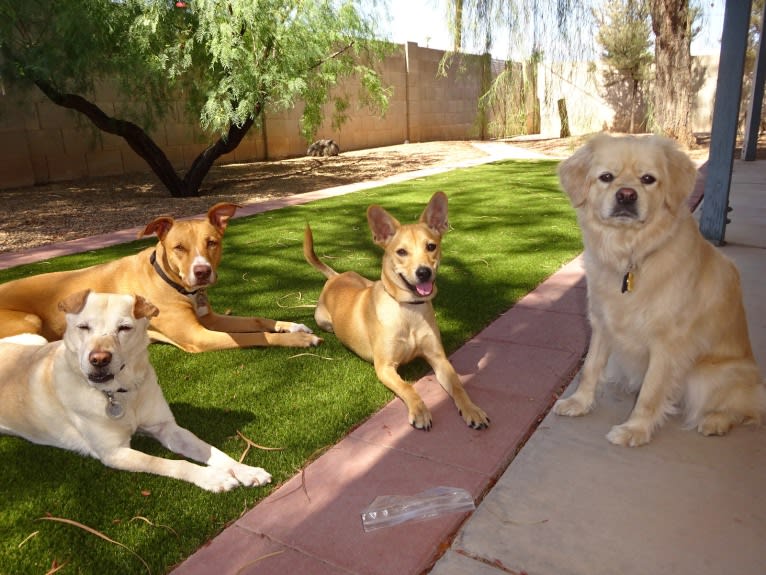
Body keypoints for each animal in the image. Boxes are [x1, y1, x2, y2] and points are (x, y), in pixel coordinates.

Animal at [0, 202, 320, 356]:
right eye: (179, 248)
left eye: (212, 243)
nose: (202, 272)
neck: (171, 282)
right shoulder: (199, 336)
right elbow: (255, 336)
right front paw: (300, 339)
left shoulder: (210, 318)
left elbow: (255, 319)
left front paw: (292, 326)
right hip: (30, 321)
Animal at [0, 290, 272, 492]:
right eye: (84, 327)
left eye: (124, 328)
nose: (99, 359)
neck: (120, 394)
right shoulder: (114, 452)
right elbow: (170, 463)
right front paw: (212, 477)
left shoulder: (166, 428)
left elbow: (211, 450)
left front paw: (245, 470)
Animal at [304, 194, 488, 432]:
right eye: (401, 252)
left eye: (431, 246)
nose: (423, 272)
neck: (409, 309)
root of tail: (335, 277)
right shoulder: (384, 367)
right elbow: (408, 387)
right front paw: (420, 411)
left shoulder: (438, 358)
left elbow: (458, 385)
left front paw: (472, 410)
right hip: (323, 321)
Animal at [556, 134, 764, 446]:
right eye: (606, 177)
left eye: (648, 179)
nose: (626, 195)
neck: (631, 253)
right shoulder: (602, 324)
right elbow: (590, 368)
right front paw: (579, 403)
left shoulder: (667, 343)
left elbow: (651, 393)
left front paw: (636, 429)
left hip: (708, 376)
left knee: (745, 409)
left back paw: (715, 420)